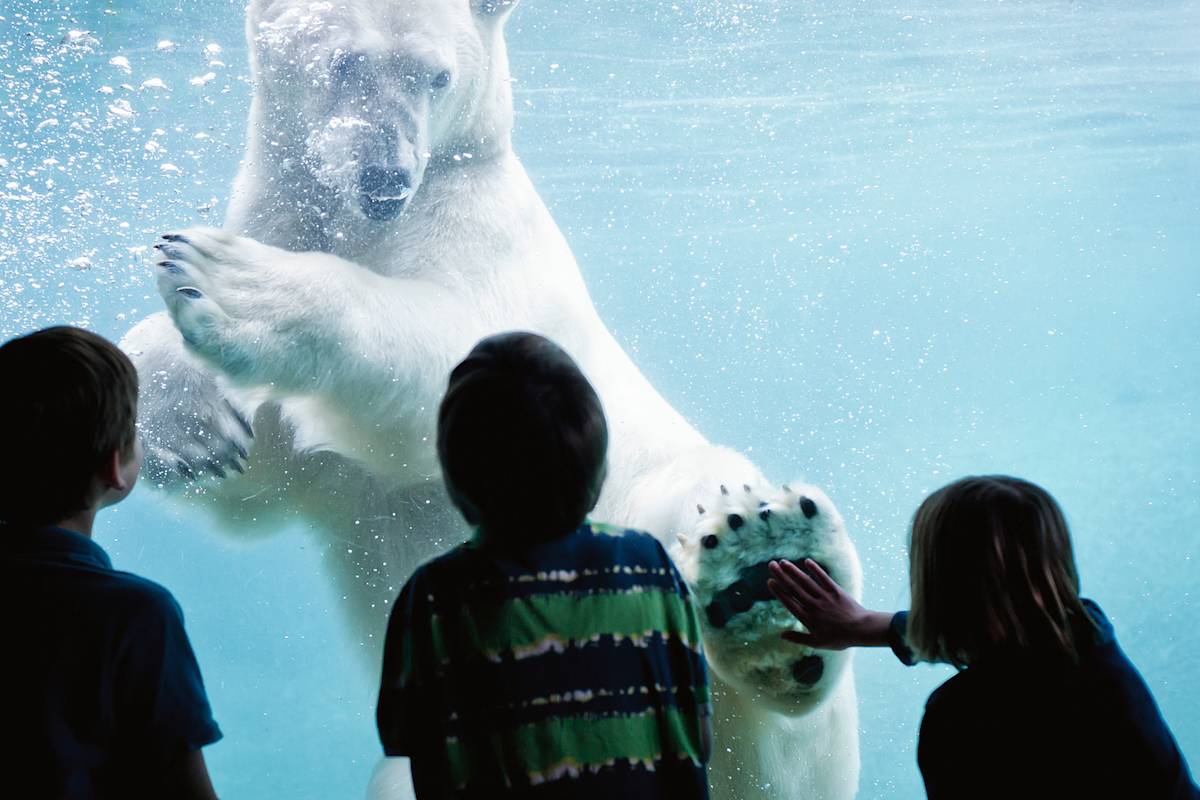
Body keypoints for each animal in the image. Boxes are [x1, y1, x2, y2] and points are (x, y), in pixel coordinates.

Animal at [121, 1, 864, 800]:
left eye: (437, 76)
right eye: (346, 63)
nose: (385, 180)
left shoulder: (480, 230)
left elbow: (446, 354)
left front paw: (232, 281)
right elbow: (266, 478)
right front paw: (187, 417)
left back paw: (766, 585)